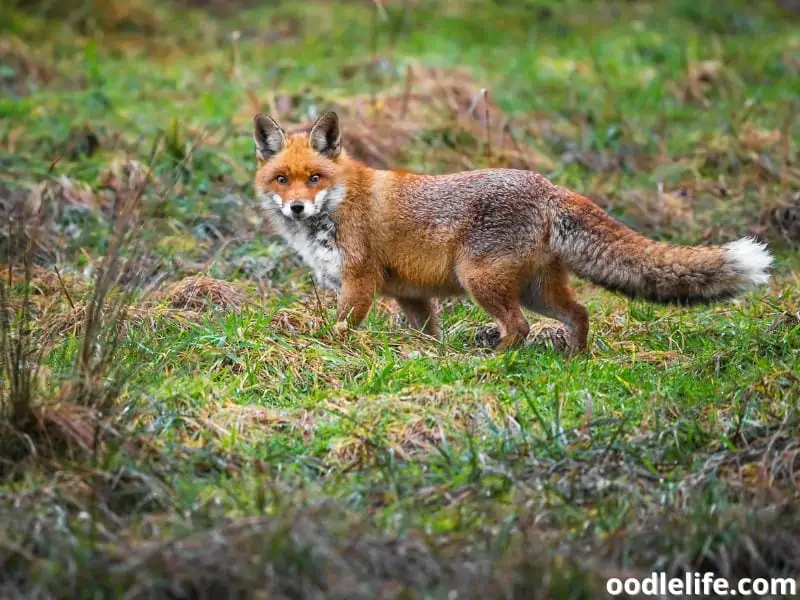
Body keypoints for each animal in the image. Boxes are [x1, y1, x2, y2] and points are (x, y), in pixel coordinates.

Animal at [253, 111, 772, 352]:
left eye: (314, 178)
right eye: (281, 179)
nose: (297, 206)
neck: (339, 203)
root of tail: (548, 185)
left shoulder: (360, 282)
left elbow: (340, 330)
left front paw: (327, 350)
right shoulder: (411, 296)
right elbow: (428, 336)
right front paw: (429, 359)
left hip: (481, 281)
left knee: (520, 329)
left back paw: (492, 362)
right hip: (535, 289)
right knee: (580, 313)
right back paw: (574, 361)